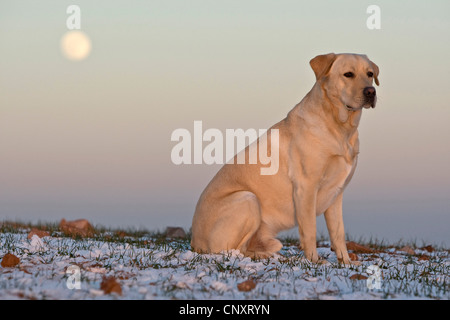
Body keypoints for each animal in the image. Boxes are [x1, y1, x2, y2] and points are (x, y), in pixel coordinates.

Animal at [191, 52, 380, 262]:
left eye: (370, 74)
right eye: (348, 74)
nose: (371, 92)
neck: (340, 127)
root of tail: (193, 241)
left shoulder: (336, 194)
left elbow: (338, 233)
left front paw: (345, 262)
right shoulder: (306, 188)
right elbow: (310, 230)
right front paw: (315, 261)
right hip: (248, 198)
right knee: (234, 251)